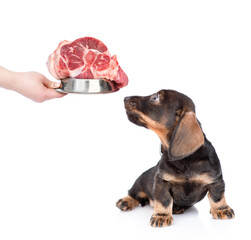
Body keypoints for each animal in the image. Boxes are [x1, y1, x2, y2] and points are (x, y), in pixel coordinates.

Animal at [116, 89, 234, 227]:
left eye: (156, 97)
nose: (125, 97)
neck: (186, 161)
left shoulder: (216, 180)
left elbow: (217, 196)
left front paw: (222, 209)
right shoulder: (162, 182)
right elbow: (163, 200)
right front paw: (161, 216)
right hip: (139, 183)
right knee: (133, 194)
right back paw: (125, 201)